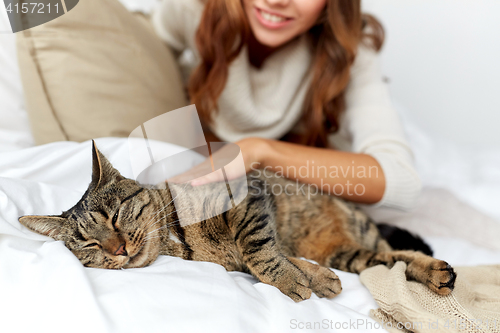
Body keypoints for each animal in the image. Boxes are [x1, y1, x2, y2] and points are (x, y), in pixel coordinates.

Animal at [20, 141, 458, 300]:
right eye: (89, 244)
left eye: (113, 217)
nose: (119, 249)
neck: (178, 242)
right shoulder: (236, 260)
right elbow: (269, 257)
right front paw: (310, 277)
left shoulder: (249, 199)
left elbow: (259, 248)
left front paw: (296, 279)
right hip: (351, 255)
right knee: (392, 263)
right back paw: (434, 273)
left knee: (396, 254)